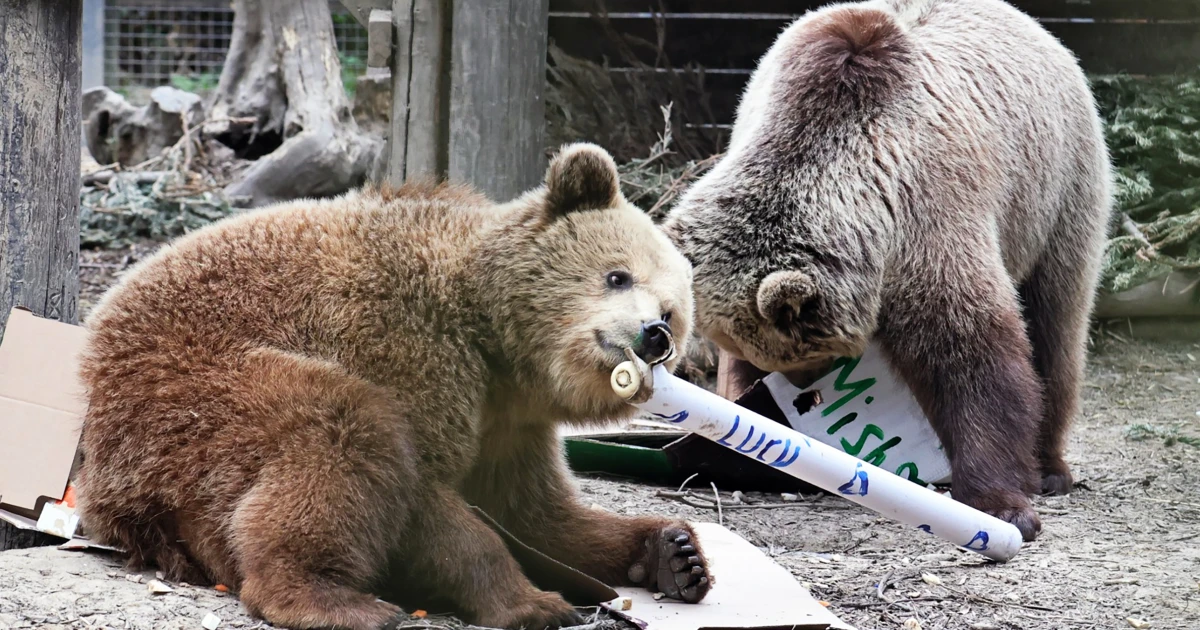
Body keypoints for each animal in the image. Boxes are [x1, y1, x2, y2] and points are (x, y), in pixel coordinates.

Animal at [75, 143, 710, 630]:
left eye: (672, 312)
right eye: (617, 275)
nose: (653, 335)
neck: (496, 345)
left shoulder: (510, 425)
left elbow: (536, 511)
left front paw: (674, 553)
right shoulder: (404, 340)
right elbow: (429, 494)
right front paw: (535, 603)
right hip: (190, 389)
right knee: (343, 432)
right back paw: (337, 599)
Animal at [661, 0, 1112, 542]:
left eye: (805, 354)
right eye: (768, 357)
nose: (803, 388)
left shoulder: (928, 212)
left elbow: (972, 357)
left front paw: (1001, 504)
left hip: (1056, 191)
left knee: (1056, 322)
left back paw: (1050, 468)